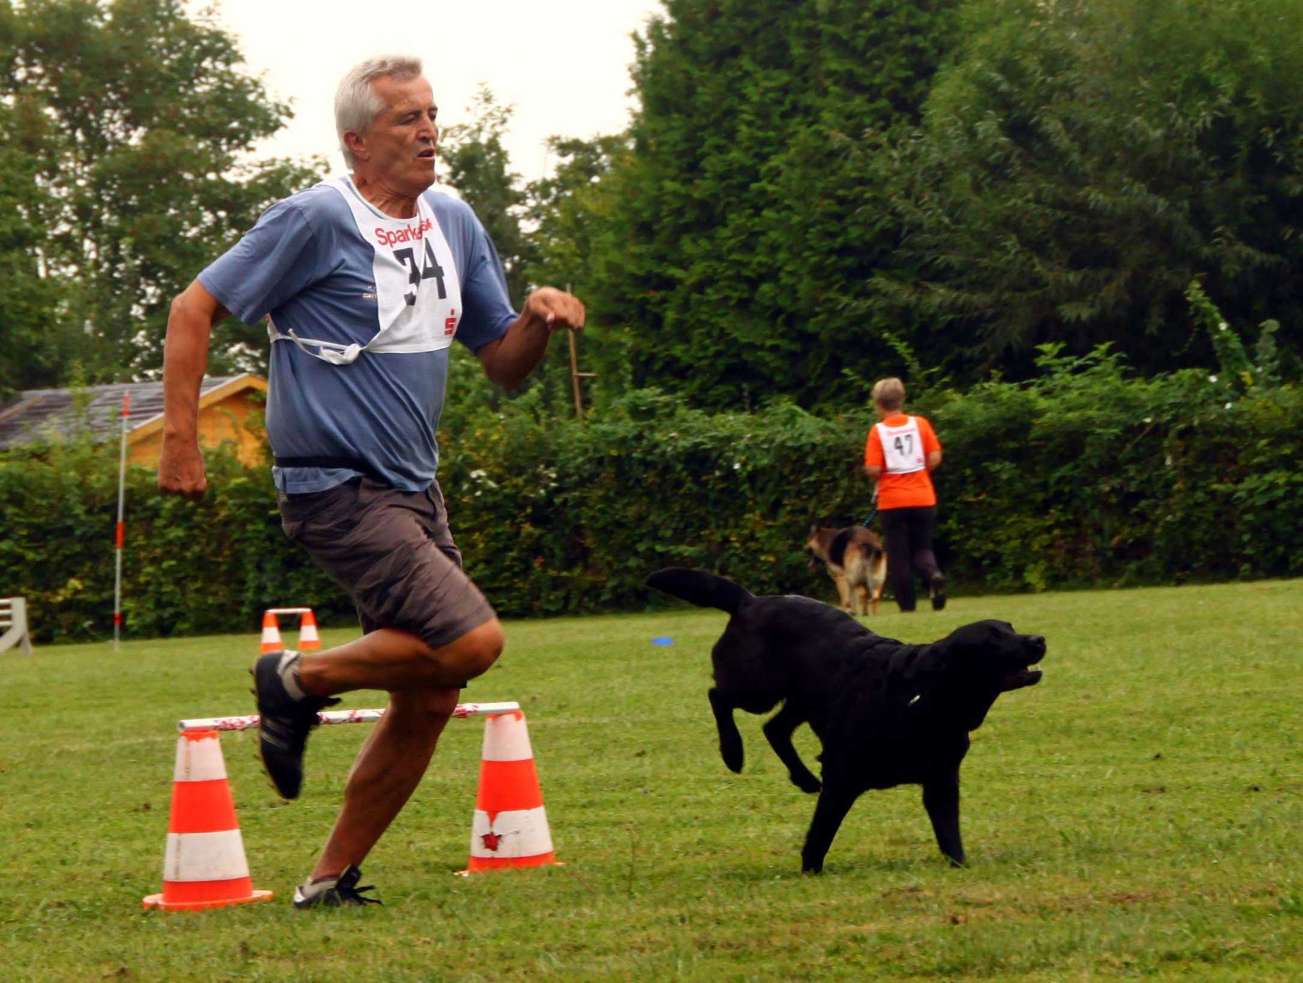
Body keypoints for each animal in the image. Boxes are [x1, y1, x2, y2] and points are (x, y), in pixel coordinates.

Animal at [646, 563, 1042, 870]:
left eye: (1010, 627)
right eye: (992, 638)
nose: (1039, 639)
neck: (924, 696)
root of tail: (750, 600)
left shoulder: (941, 781)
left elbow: (949, 834)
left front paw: (960, 866)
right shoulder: (842, 776)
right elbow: (822, 831)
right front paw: (810, 870)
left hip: (801, 698)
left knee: (773, 728)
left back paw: (803, 779)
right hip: (757, 687)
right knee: (719, 696)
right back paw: (732, 752)